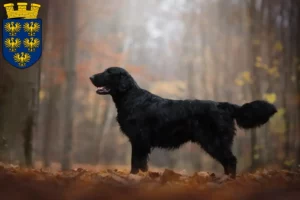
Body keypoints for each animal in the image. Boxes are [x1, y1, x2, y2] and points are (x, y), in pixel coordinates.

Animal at [89, 66, 276, 177]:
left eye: (108, 72)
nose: (90, 77)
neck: (132, 98)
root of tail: (224, 105)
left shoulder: (140, 140)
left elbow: (136, 162)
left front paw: (134, 177)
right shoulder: (140, 141)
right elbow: (141, 163)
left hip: (214, 141)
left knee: (231, 160)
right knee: (228, 161)